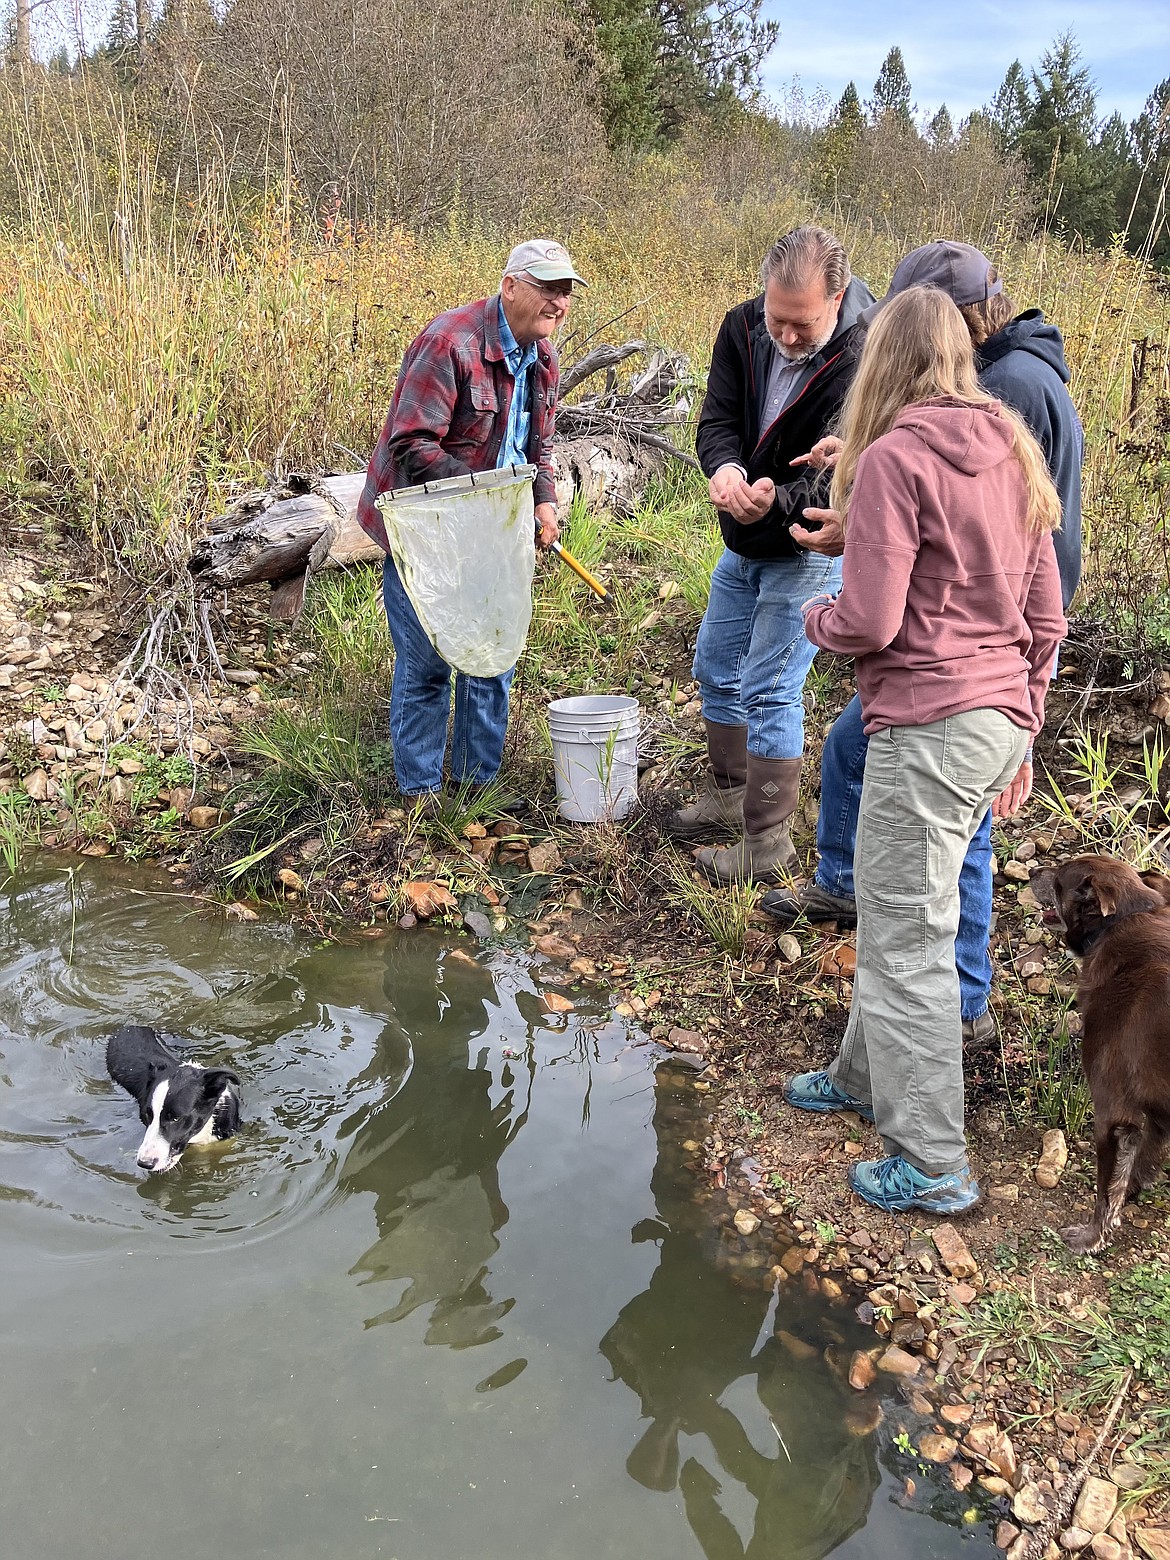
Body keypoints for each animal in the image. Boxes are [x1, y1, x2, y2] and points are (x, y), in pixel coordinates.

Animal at [1035, 848, 1170, 1260]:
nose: (1032, 870)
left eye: (1059, 879)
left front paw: (1090, 1238)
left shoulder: (1113, 1115)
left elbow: (1105, 1191)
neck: (1120, 925)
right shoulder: (1156, 1116)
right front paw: (1133, 1194)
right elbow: (1140, 1165)